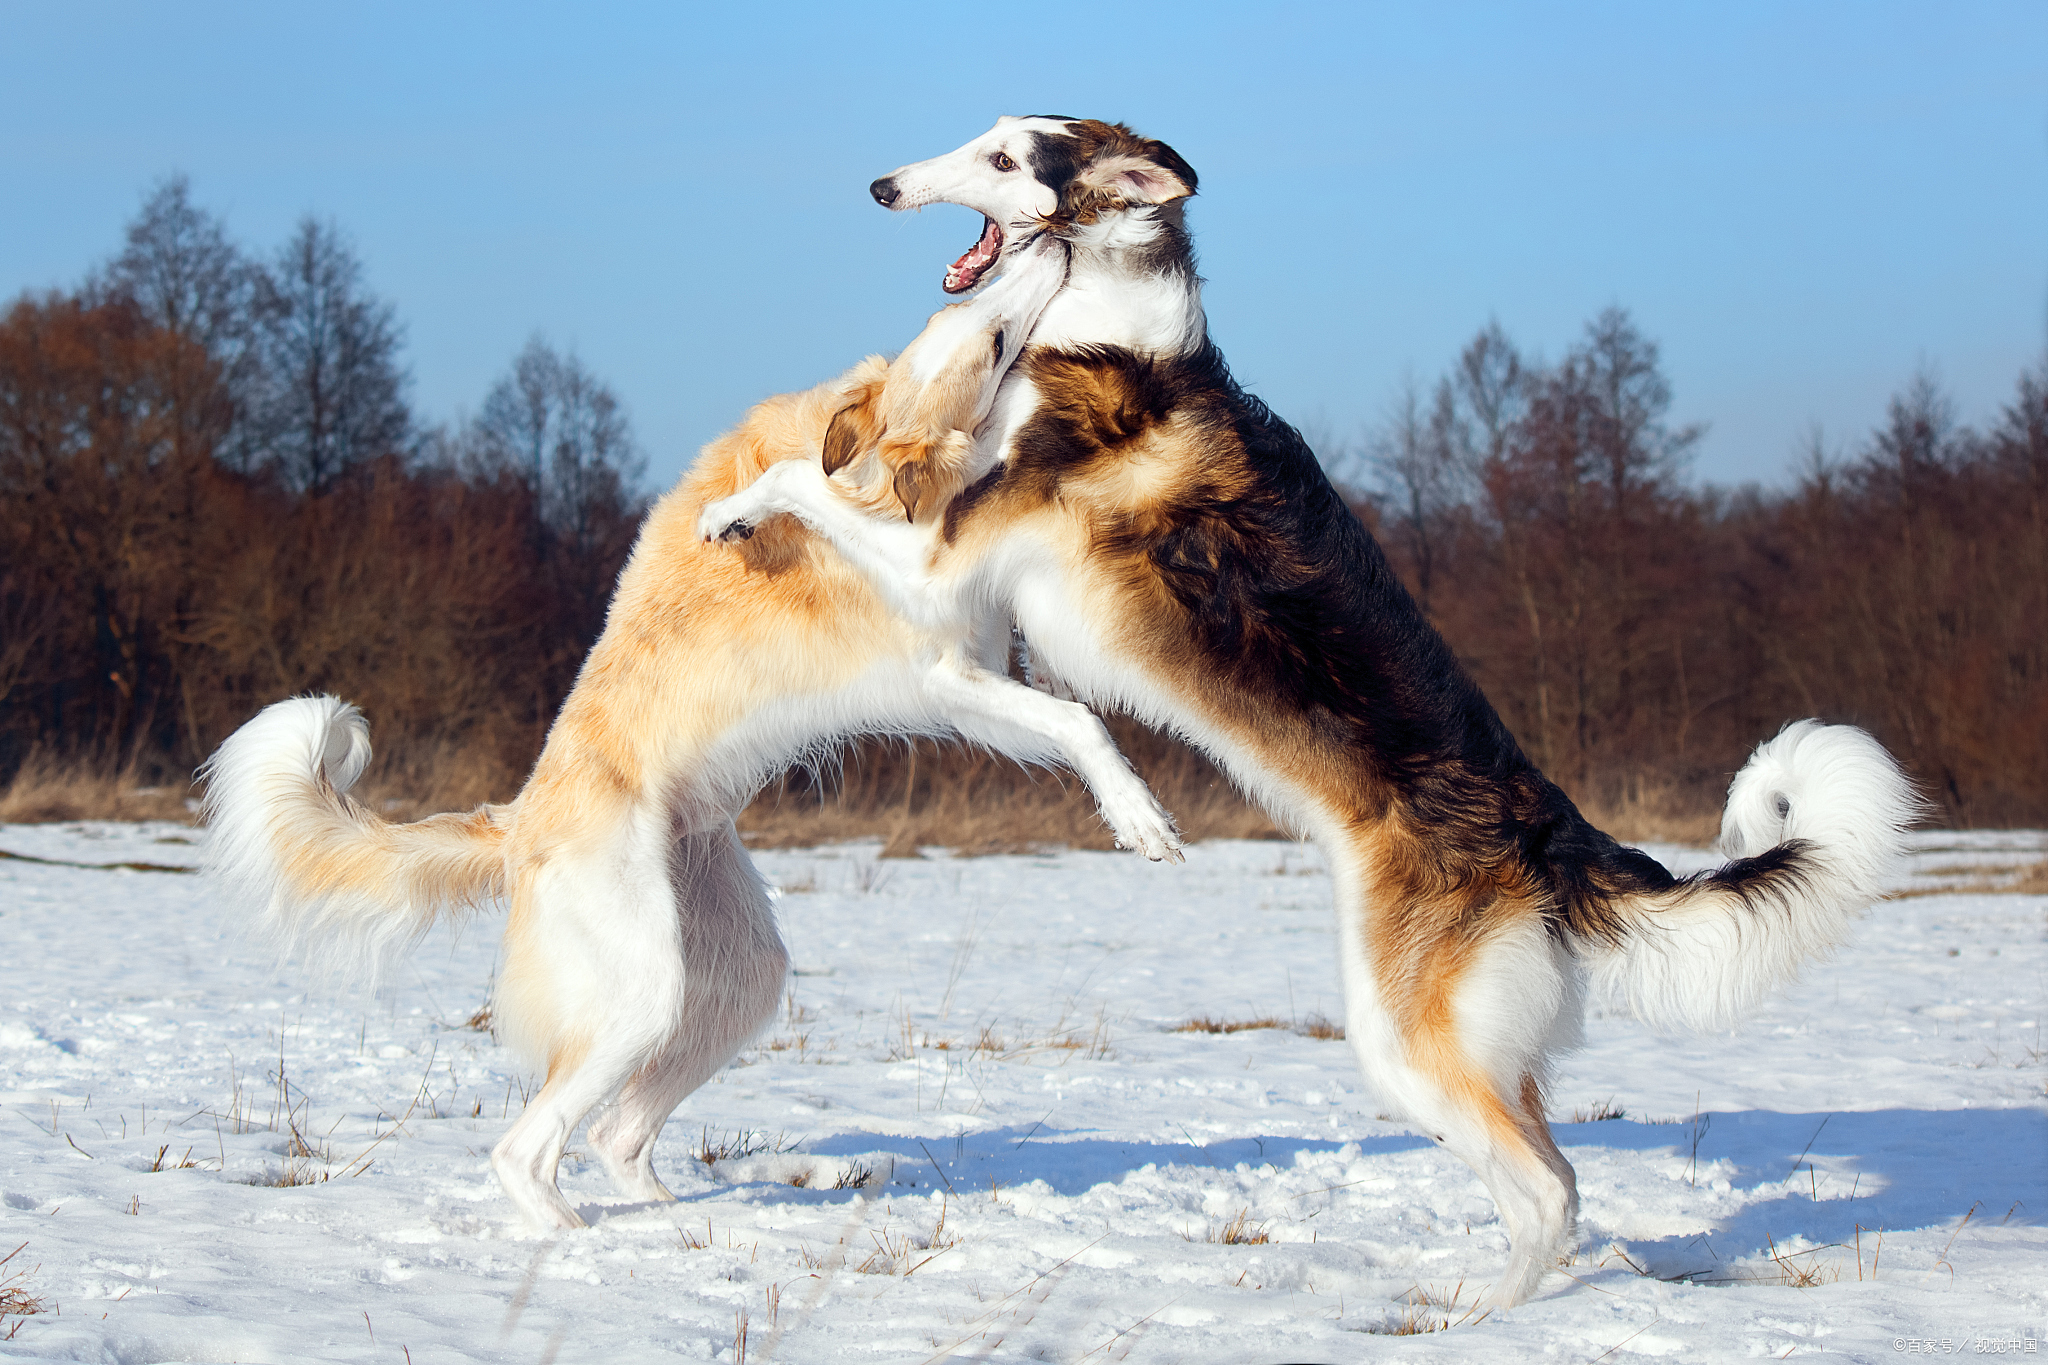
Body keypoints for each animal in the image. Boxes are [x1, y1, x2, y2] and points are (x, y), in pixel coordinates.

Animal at [203, 237, 1187, 1236]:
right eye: (988, 340)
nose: (1052, 242)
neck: (872, 463)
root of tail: (516, 823)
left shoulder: (984, 661)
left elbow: (1070, 698)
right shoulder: (952, 673)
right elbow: (1081, 721)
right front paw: (1140, 818)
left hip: (735, 979)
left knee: (616, 1137)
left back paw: (677, 1231)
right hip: (642, 992)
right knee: (528, 1149)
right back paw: (574, 1239)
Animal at [704, 120, 1916, 1309]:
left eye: (1006, 158)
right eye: (983, 133)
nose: (882, 185)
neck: (1105, 337)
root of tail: (1552, 832)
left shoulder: (939, 560)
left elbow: (799, 482)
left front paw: (728, 511)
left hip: (1405, 1042)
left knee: (1546, 1192)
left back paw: (1472, 1322)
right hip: (1474, 1049)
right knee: (1555, 1179)